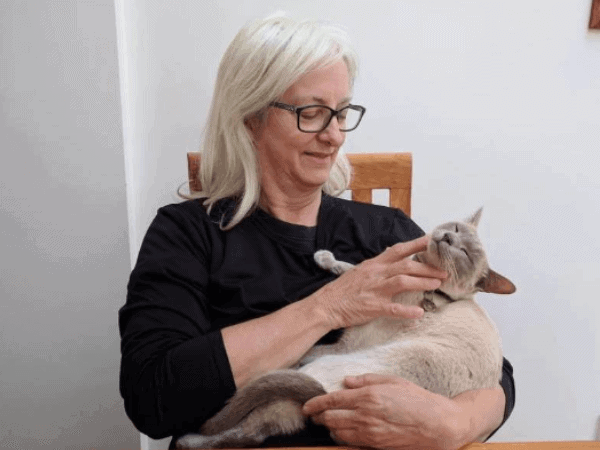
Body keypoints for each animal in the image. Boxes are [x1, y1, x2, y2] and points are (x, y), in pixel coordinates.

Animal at [175, 209, 516, 448]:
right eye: (456, 229)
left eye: (465, 254)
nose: (447, 238)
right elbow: (359, 268)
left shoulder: (349, 340)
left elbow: (349, 269)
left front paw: (324, 258)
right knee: (257, 428)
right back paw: (192, 441)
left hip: (333, 366)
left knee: (264, 409)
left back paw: (188, 439)